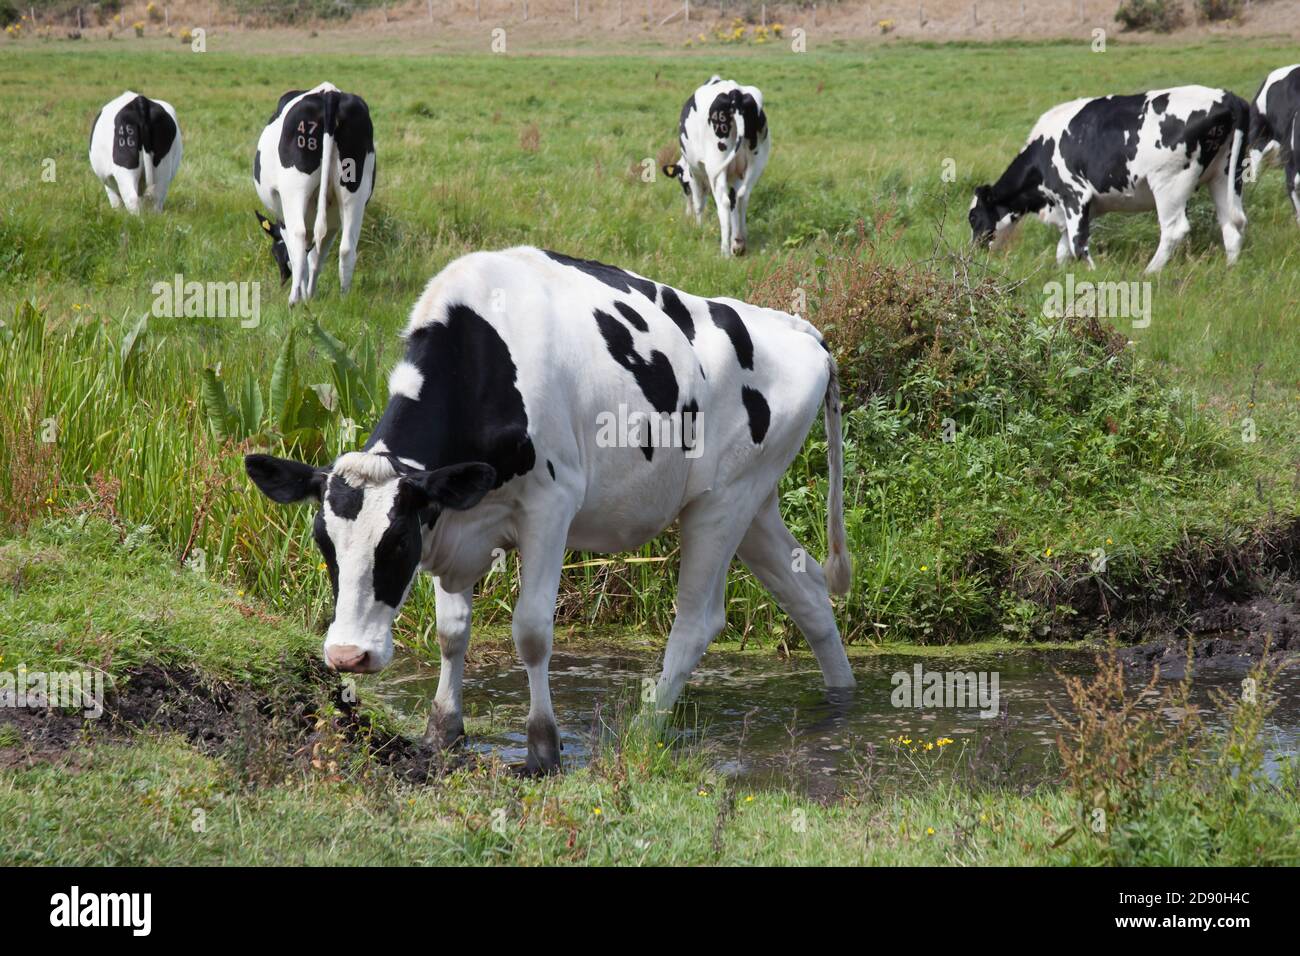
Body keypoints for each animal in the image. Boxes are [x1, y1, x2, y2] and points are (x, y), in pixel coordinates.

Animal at [244, 248, 857, 780]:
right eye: (324, 544)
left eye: (395, 545)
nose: (348, 656)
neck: (485, 358)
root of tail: (796, 328)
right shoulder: (455, 516)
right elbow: (451, 632)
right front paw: (443, 733)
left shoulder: (550, 507)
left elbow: (533, 632)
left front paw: (544, 750)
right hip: (753, 503)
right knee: (807, 592)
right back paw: (841, 703)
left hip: (722, 501)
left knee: (696, 622)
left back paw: (642, 732)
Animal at [252, 85, 377, 304]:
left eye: (275, 253)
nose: (282, 280)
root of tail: (329, 93)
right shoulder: (333, 223)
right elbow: (317, 258)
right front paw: (310, 294)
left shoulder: (283, 220)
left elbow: (299, 255)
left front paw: (304, 295)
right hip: (354, 192)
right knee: (347, 248)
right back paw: (344, 299)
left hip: (294, 190)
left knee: (299, 237)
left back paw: (293, 301)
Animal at [660, 77, 769, 257]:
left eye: (682, 182)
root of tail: (734, 92)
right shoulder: (735, 175)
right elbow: (734, 202)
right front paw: (736, 239)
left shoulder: (694, 172)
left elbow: (699, 203)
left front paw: (698, 228)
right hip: (757, 162)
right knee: (742, 196)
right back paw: (739, 242)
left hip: (717, 164)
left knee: (723, 202)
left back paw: (725, 251)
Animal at [967, 85, 1248, 273]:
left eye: (973, 217)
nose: (973, 251)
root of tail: (1225, 96)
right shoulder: (1078, 207)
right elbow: (1064, 247)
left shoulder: (1074, 195)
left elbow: (1077, 244)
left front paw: (1093, 273)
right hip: (1224, 176)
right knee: (1230, 226)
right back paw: (1230, 270)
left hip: (1170, 182)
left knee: (1174, 229)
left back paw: (1149, 272)